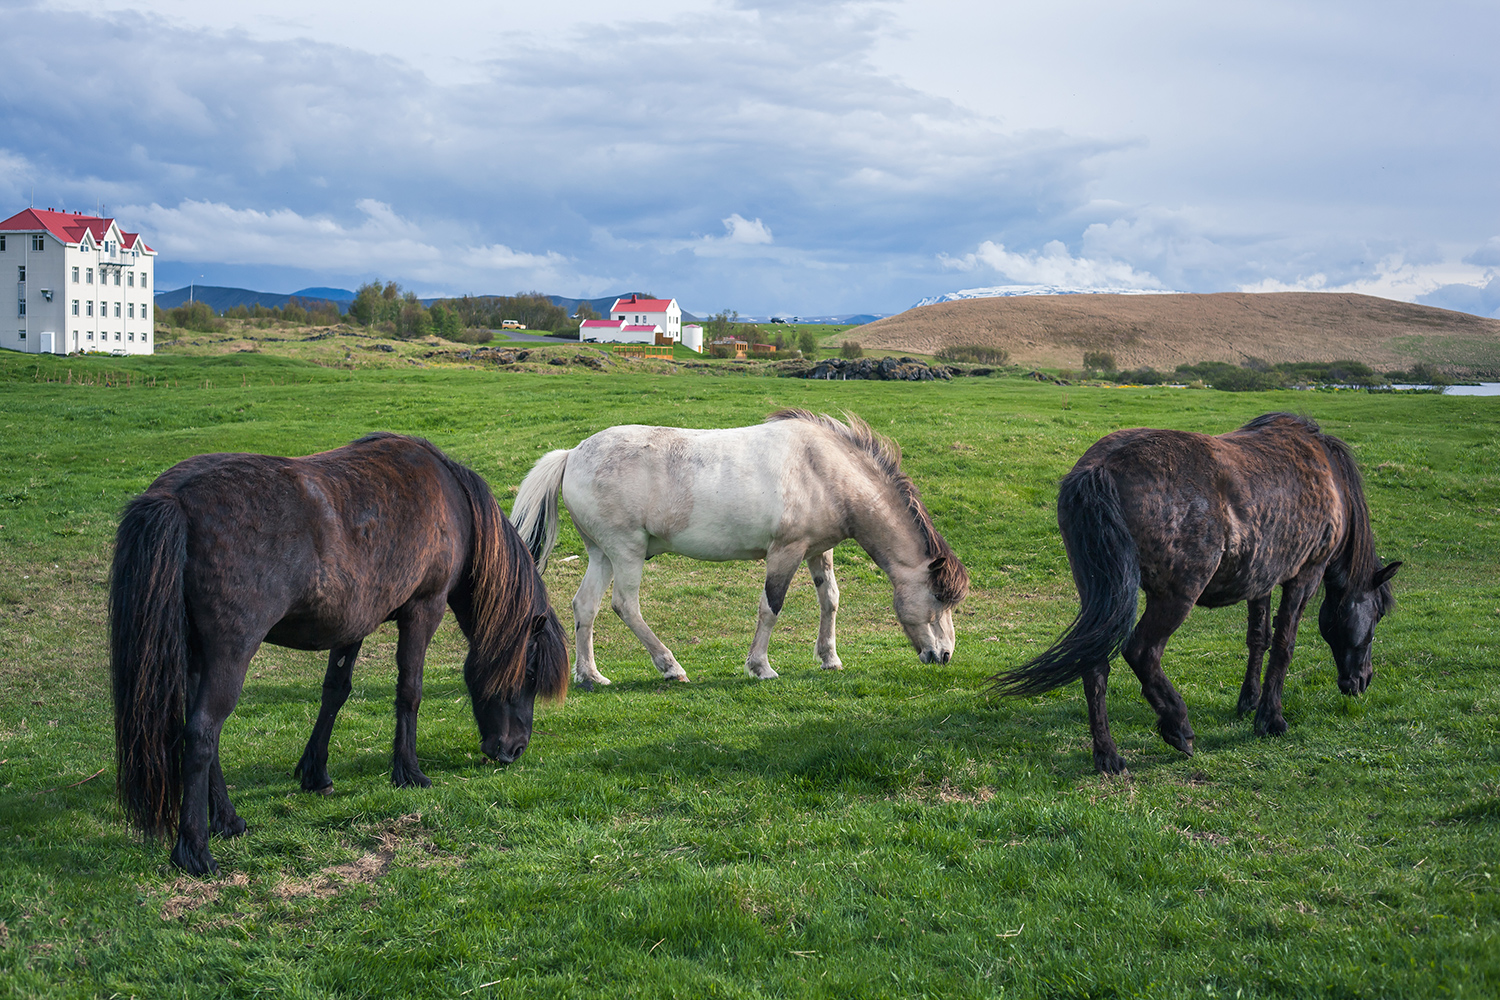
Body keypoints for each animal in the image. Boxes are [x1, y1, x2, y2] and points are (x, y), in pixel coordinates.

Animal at [109, 434, 567, 869]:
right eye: (528, 674)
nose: (514, 749)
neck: (454, 504)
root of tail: (175, 498)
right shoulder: (424, 608)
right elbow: (409, 690)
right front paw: (409, 771)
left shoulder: (354, 622)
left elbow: (335, 692)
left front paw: (315, 772)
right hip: (230, 654)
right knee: (203, 732)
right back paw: (195, 850)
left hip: (198, 656)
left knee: (203, 733)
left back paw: (227, 819)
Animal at [510, 410, 966, 683]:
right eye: (938, 599)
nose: (945, 655)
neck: (824, 469)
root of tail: (572, 454)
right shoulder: (785, 552)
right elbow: (771, 607)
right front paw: (760, 666)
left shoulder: (819, 551)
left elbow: (831, 600)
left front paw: (829, 658)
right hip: (626, 551)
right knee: (625, 605)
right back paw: (670, 667)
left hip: (602, 554)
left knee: (585, 605)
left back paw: (590, 675)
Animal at [990, 413, 1398, 773]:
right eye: (1378, 615)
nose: (1362, 681)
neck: (1329, 476)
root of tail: (1101, 467)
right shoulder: (1304, 576)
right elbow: (1284, 646)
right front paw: (1271, 719)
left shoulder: (1261, 579)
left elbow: (1259, 638)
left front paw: (1248, 701)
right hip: (1175, 595)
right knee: (1142, 651)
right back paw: (1178, 726)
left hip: (1104, 597)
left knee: (1094, 664)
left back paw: (1108, 756)